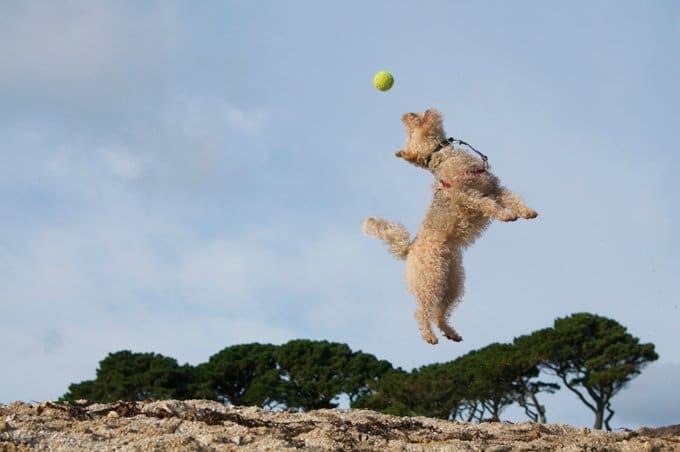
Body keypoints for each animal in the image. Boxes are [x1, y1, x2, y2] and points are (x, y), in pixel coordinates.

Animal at [364, 108, 540, 342]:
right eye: (410, 134)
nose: (406, 114)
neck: (442, 155)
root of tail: (409, 249)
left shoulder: (495, 188)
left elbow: (513, 199)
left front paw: (527, 212)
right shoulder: (468, 196)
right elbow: (488, 205)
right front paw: (505, 215)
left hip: (452, 284)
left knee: (439, 313)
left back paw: (451, 334)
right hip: (429, 281)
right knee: (421, 312)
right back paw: (429, 336)